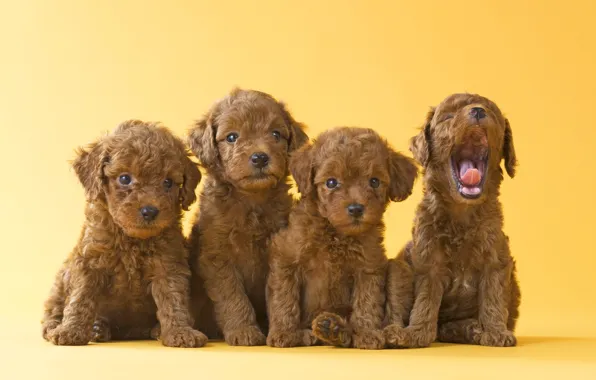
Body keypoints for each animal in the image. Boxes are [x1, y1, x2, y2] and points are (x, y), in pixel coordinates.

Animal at [40, 120, 206, 346]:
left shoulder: (168, 264)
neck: (131, 238)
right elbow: (80, 298)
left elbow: (174, 299)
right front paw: (70, 331)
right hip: (61, 277)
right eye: (125, 178)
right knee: (54, 306)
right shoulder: (89, 262)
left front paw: (181, 332)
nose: (150, 211)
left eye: (168, 182)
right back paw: (69, 327)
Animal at [186, 87, 308, 346]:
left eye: (276, 134)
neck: (251, 202)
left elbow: (280, 294)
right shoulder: (217, 256)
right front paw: (244, 331)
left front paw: (284, 333)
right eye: (232, 137)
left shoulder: (279, 252)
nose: (260, 157)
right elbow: (233, 297)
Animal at [268, 128, 416, 350]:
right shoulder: (286, 258)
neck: (336, 233)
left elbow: (367, 302)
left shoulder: (368, 268)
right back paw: (325, 330)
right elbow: (284, 298)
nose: (356, 208)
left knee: (394, 314)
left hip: (399, 270)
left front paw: (366, 333)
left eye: (374, 181)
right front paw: (284, 332)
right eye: (331, 182)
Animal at [384, 93, 520, 348]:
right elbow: (425, 300)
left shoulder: (496, 257)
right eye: (447, 116)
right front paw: (417, 334)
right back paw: (397, 333)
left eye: (492, 113)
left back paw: (471, 328)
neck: (462, 211)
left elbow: (493, 296)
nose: (478, 111)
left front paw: (496, 331)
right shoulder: (428, 259)